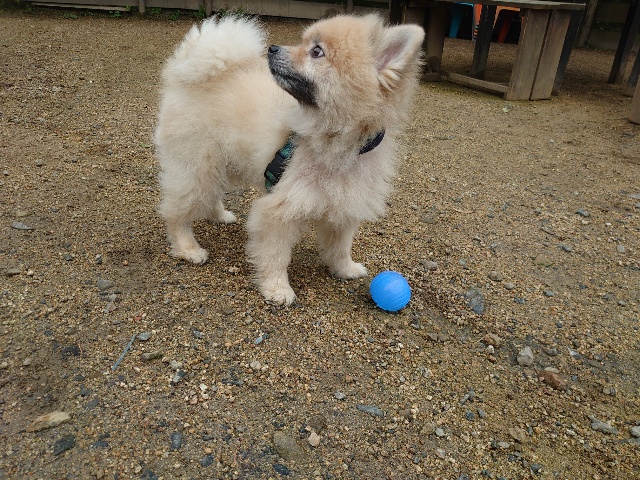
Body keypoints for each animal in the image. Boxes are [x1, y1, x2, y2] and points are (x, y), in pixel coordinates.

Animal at [154, 13, 424, 305]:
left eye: (316, 51)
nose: (272, 48)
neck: (337, 142)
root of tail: (187, 70)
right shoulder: (280, 209)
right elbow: (276, 255)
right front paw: (277, 288)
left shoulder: (346, 202)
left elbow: (340, 246)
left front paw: (345, 269)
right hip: (197, 164)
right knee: (176, 211)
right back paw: (188, 248)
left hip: (221, 162)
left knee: (209, 194)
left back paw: (218, 214)